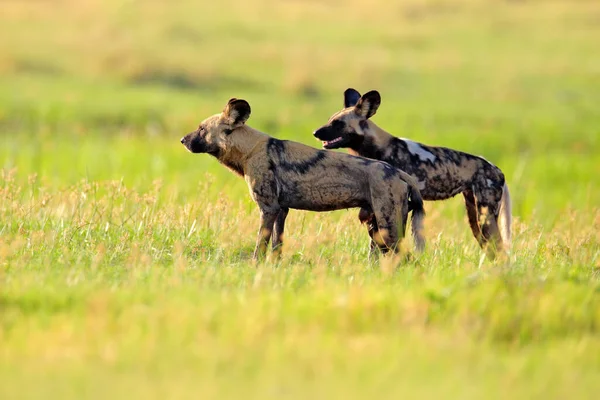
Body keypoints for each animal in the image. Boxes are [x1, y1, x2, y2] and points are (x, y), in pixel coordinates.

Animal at [179, 97, 426, 260]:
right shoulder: (281, 209)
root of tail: (399, 172)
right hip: (377, 227)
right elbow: (277, 245)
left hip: (387, 227)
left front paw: (255, 266)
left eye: (201, 129)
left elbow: (260, 244)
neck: (249, 150)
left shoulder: (268, 208)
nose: (182, 140)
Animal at [312, 88, 512, 258]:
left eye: (338, 124)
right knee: (491, 250)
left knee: (500, 250)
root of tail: (496, 168)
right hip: (475, 216)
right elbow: (375, 243)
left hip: (486, 216)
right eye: (330, 120)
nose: (315, 132)